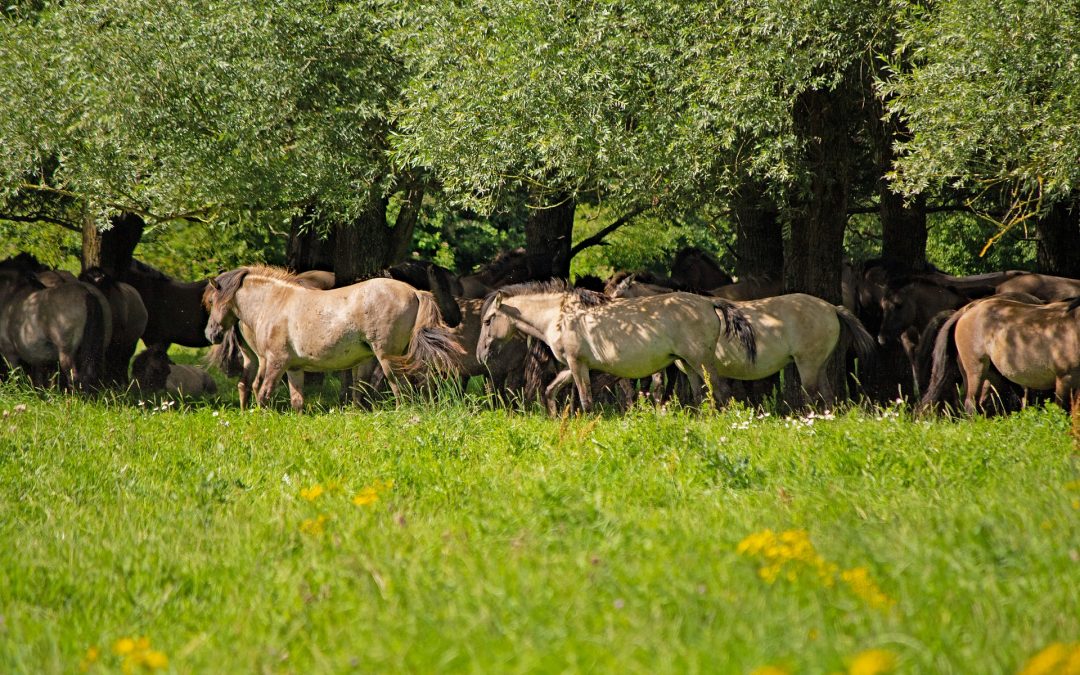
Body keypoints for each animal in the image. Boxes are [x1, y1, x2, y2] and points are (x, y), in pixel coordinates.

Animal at [204, 265, 462, 408]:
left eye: (211, 301)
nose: (210, 333)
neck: (275, 301)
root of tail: (414, 292)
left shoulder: (276, 362)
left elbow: (264, 394)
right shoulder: (293, 368)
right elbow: (297, 401)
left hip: (387, 358)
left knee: (402, 390)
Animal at [477, 278, 756, 410]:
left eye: (489, 321)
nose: (481, 355)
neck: (560, 315)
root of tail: (710, 303)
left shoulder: (578, 365)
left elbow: (586, 401)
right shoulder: (571, 367)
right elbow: (550, 391)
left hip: (701, 362)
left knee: (722, 392)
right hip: (687, 364)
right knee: (700, 395)